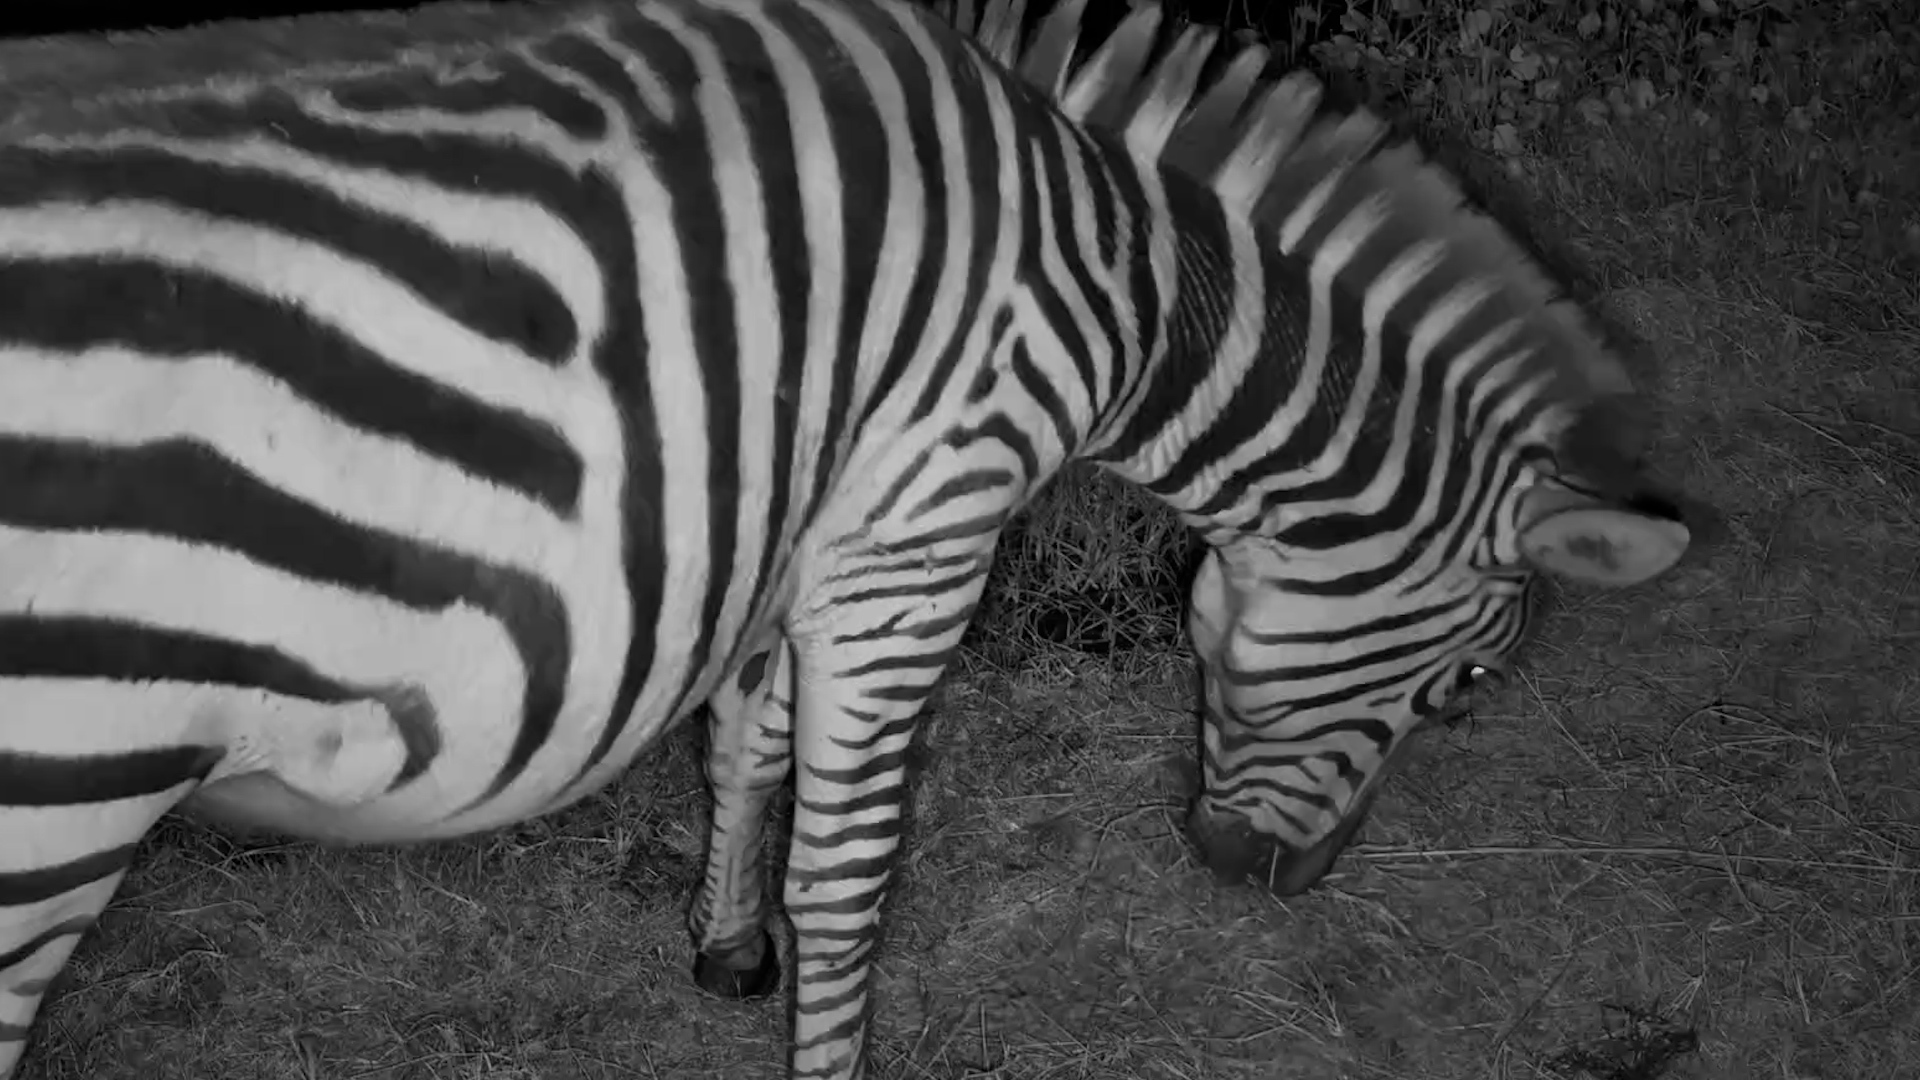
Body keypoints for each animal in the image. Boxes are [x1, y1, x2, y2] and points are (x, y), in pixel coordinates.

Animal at [0, 0, 1694, 1075]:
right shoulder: (917, 541)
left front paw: (724, 947)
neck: (1128, 279)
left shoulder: (793, 514)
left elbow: (744, 740)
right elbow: (851, 879)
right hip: (62, 795)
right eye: (1466, 693)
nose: (1268, 881)